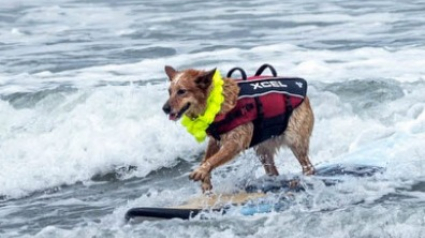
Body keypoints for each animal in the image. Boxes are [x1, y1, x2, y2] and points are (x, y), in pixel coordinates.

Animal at [162, 66, 314, 192]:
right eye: (169, 92)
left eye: (182, 91)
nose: (165, 108)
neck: (215, 102)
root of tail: (306, 98)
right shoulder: (215, 140)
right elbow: (206, 158)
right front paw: (205, 179)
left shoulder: (235, 142)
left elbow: (214, 158)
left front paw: (201, 171)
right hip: (263, 149)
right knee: (273, 170)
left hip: (295, 141)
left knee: (308, 167)